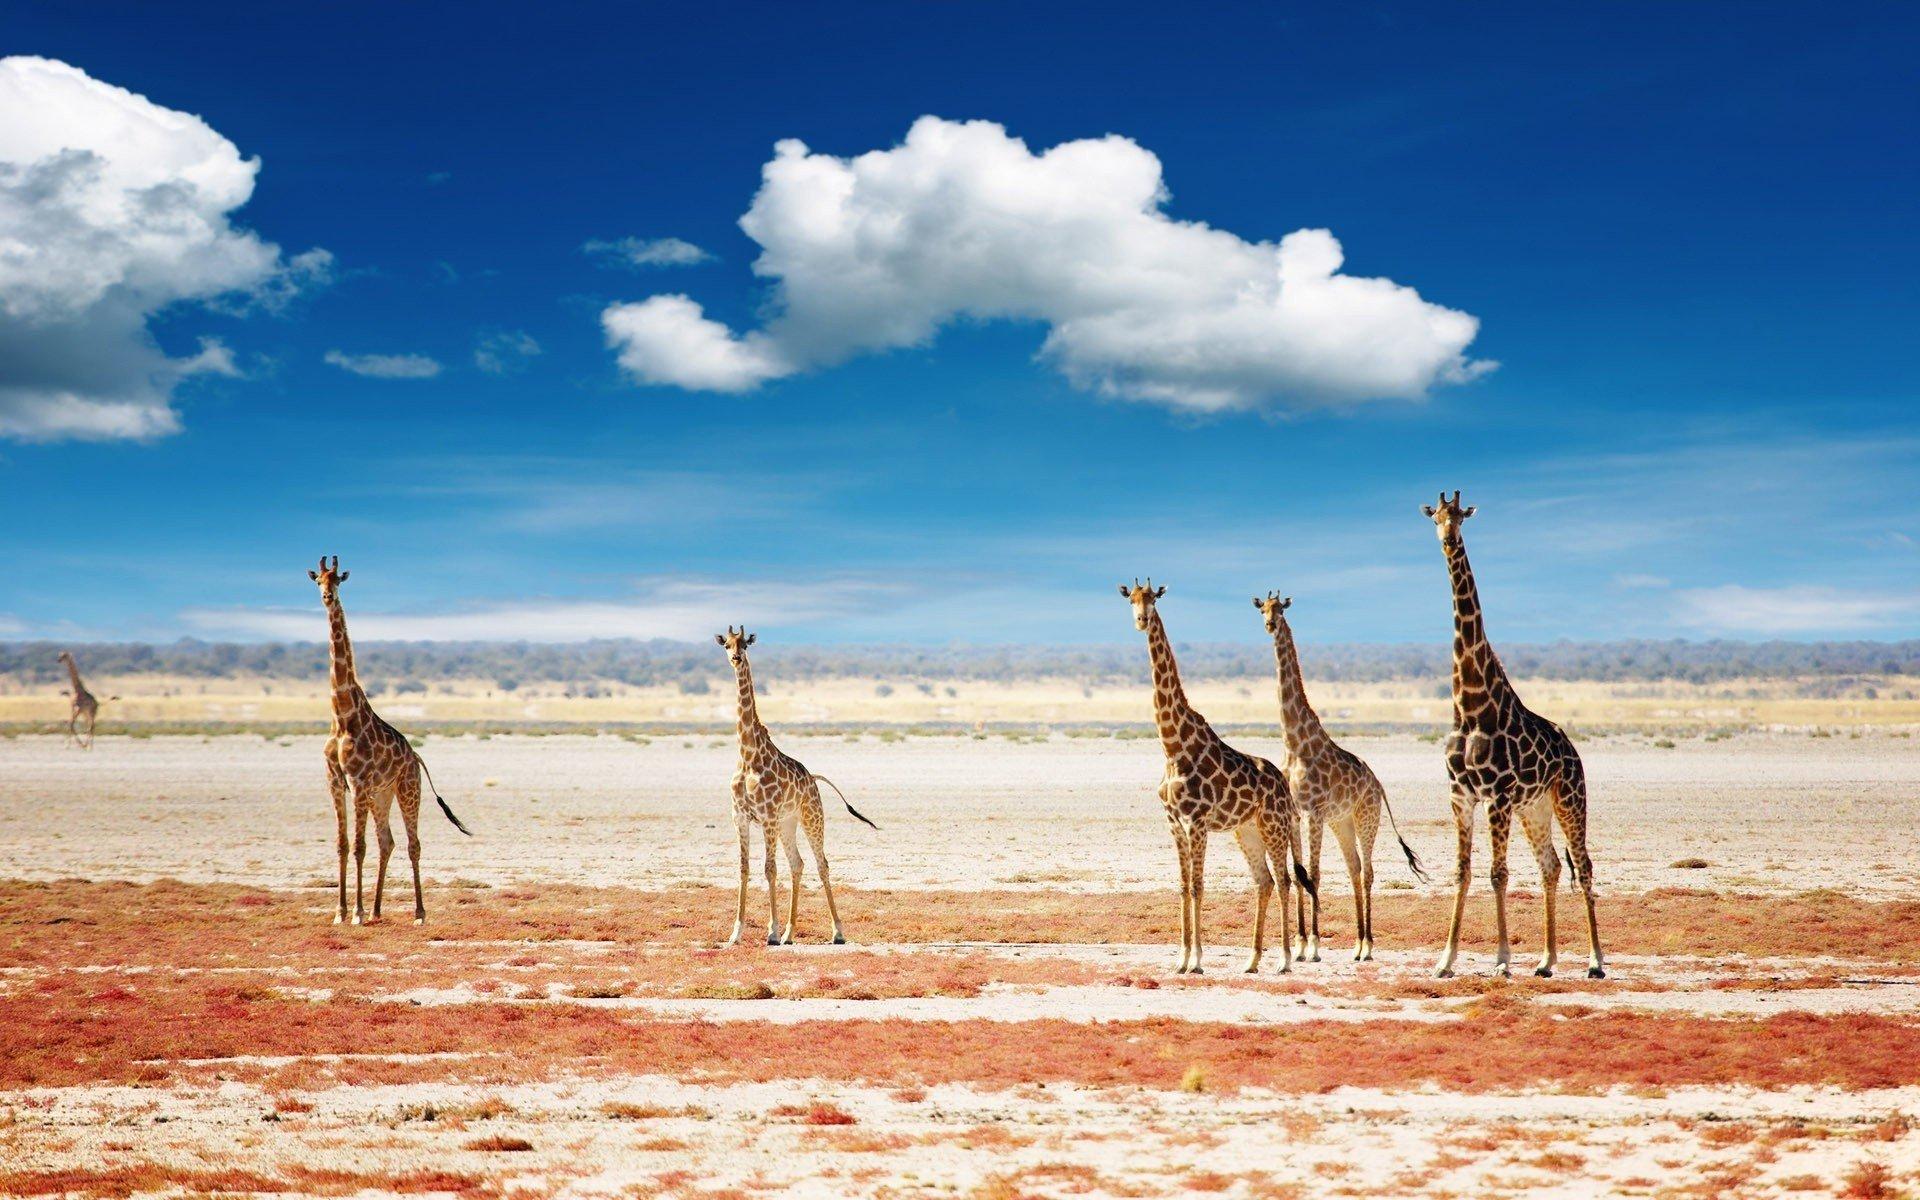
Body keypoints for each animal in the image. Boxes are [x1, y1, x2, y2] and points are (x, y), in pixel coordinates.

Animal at [310, 556, 472, 925]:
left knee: (412, 844)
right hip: (382, 795)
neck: (342, 715)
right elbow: (342, 845)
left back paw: (418, 912)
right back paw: (377, 910)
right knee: (388, 841)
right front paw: (341, 913)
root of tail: (416, 757)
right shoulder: (335, 782)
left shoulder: (357, 782)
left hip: (408, 789)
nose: (327, 596)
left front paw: (355, 913)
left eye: (338, 580)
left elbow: (359, 847)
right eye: (317, 581)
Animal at [718, 626, 877, 946]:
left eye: (745, 644)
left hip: (811, 817)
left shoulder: (766, 817)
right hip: (788, 823)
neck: (748, 756)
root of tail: (813, 778)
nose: (736, 658)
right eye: (726, 645)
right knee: (798, 863)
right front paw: (736, 933)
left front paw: (771, 932)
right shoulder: (740, 817)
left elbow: (769, 869)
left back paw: (837, 932)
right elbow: (743, 869)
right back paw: (790, 934)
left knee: (821, 863)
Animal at [1122, 580, 1314, 975]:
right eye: (1130, 599)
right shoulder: (1174, 822)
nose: (1141, 620)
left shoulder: (1197, 821)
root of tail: (1283, 787)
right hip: (1247, 830)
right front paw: (1180, 959)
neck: (1172, 747)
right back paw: (1252, 960)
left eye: (1153, 599)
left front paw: (1196, 960)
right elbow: (1183, 886)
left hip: (1273, 825)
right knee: (1264, 882)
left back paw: (1285, 959)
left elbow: (1198, 886)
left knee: (1284, 880)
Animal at [1254, 593, 1428, 962]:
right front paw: (1301, 943)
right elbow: (1299, 874)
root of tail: (1378, 784)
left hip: (1366, 817)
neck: (1294, 743)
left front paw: (1315, 945)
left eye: (1281, 609)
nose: (1270, 624)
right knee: (1354, 869)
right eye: (1262, 608)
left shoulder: (1314, 812)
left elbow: (1315, 873)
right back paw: (1358, 944)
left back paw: (1368, 945)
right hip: (1342, 822)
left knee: (1368, 872)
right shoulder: (1294, 814)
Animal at [1423, 493, 1604, 978]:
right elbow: (1463, 871)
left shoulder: (1498, 796)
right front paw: (1445, 960)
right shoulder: (1461, 795)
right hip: (1535, 808)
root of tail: (1573, 751)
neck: (1470, 707)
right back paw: (1545, 960)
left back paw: (1596, 961)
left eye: (1461, 517)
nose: (1448, 540)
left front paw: (1502, 959)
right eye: (1436, 517)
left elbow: (1497, 874)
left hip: (1568, 797)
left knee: (1583, 863)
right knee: (1551, 866)